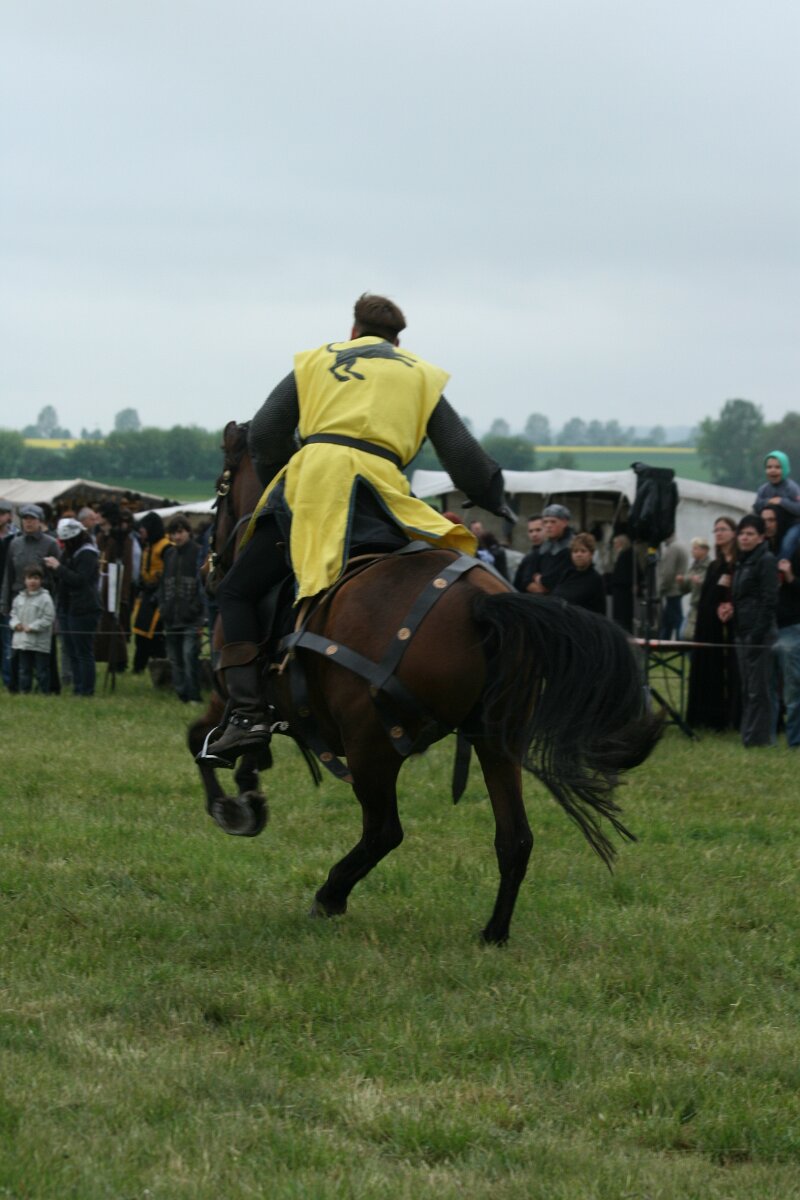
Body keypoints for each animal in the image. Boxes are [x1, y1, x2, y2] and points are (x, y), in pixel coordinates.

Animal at [189, 422, 663, 945]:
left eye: (220, 489)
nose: (211, 572)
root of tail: (481, 605)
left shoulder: (230, 695)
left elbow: (203, 739)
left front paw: (233, 808)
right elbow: (241, 746)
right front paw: (248, 794)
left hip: (371, 744)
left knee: (384, 831)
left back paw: (330, 895)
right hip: (496, 740)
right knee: (514, 837)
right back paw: (493, 932)